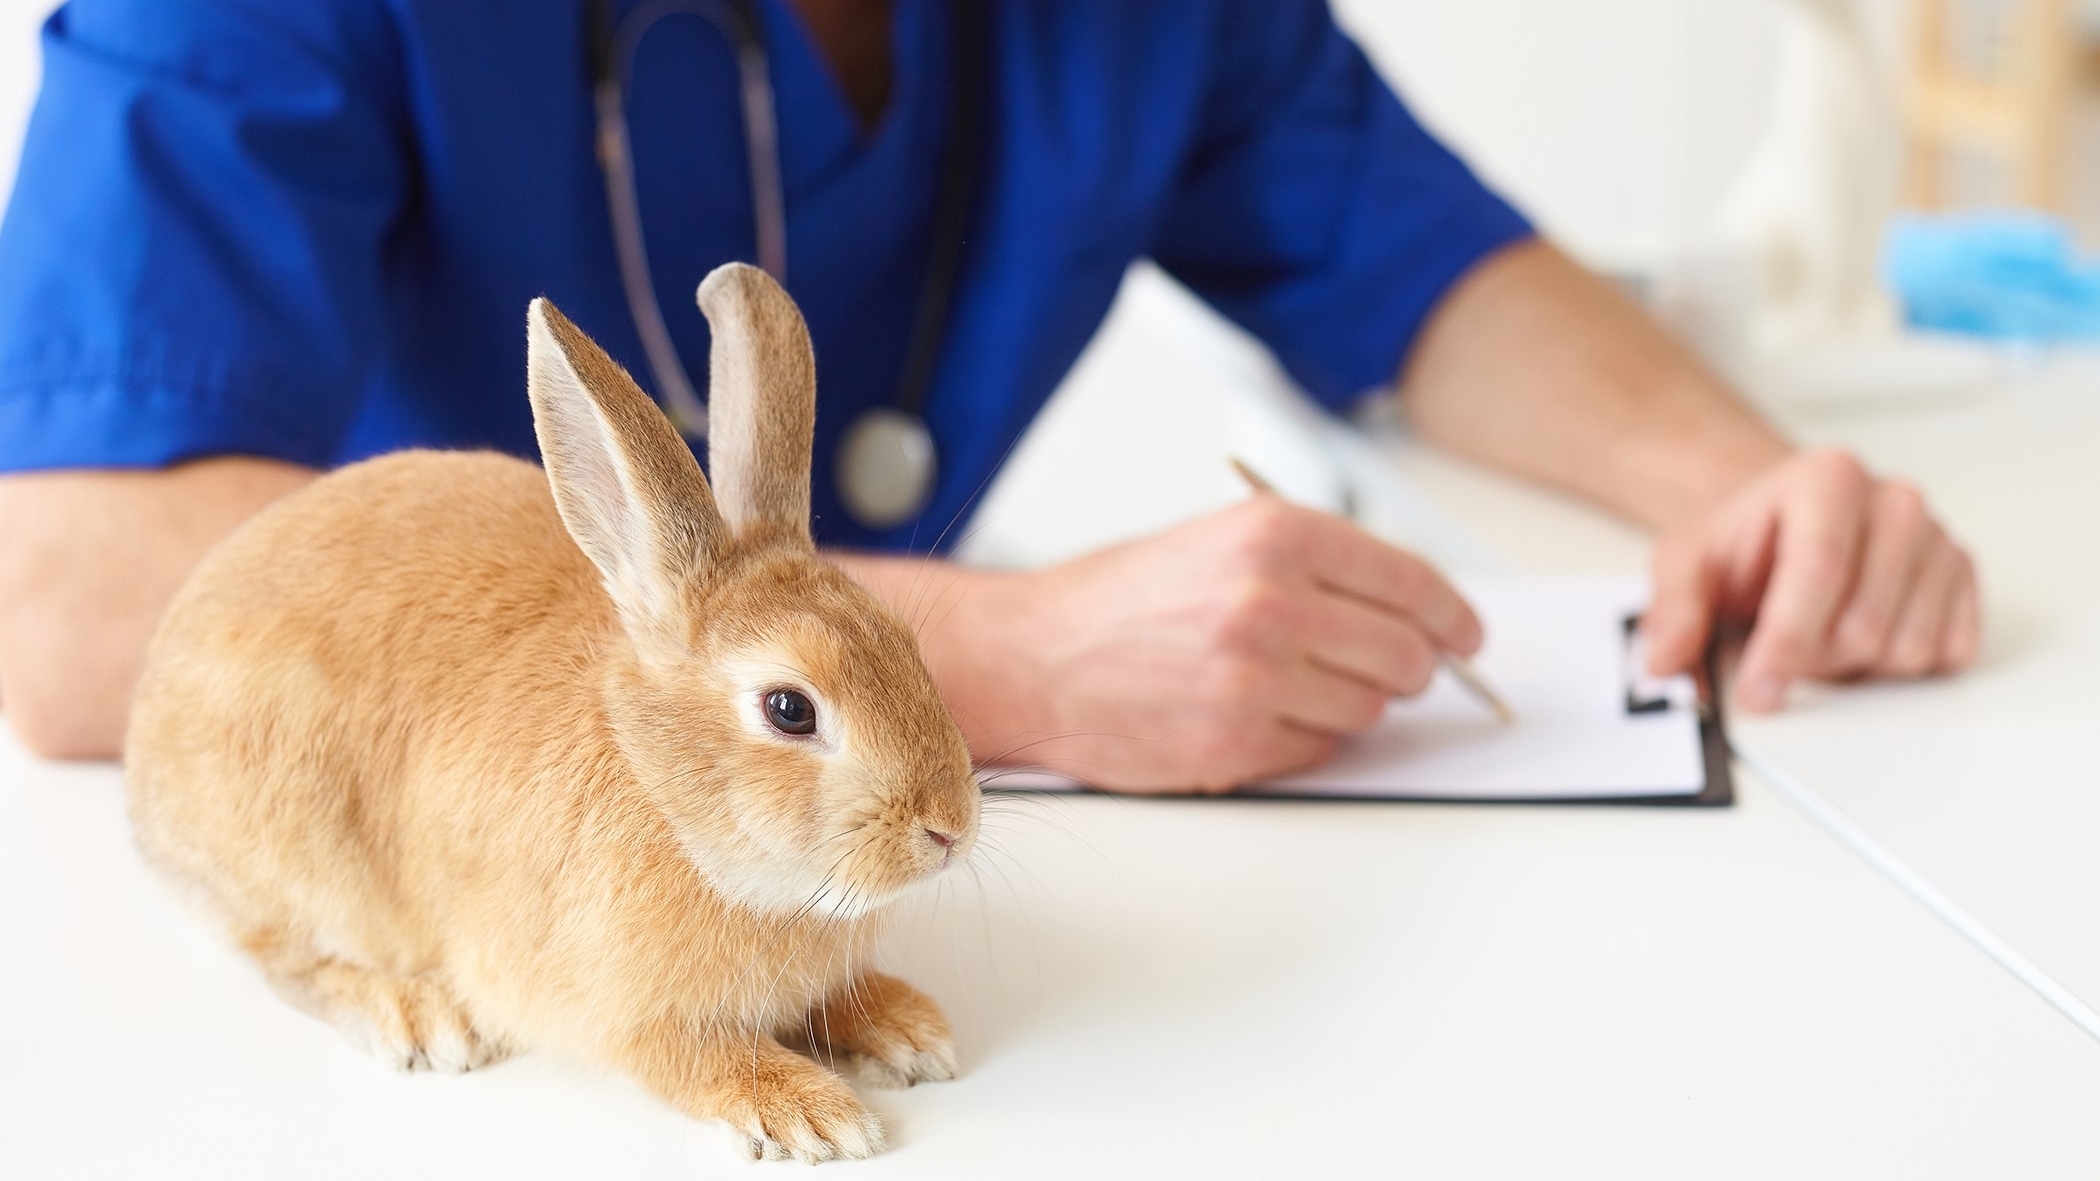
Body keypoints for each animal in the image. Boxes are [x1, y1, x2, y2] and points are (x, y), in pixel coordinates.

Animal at [127, 259, 978, 1159]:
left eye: (905, 644)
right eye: (790, 708)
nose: (950, 827)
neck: (661, 793)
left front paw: (908, 1029)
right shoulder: (624, 1013)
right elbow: (694, 1057)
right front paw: (811, 1113)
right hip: (298, 846)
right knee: (288, 961)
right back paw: (416, 1015)